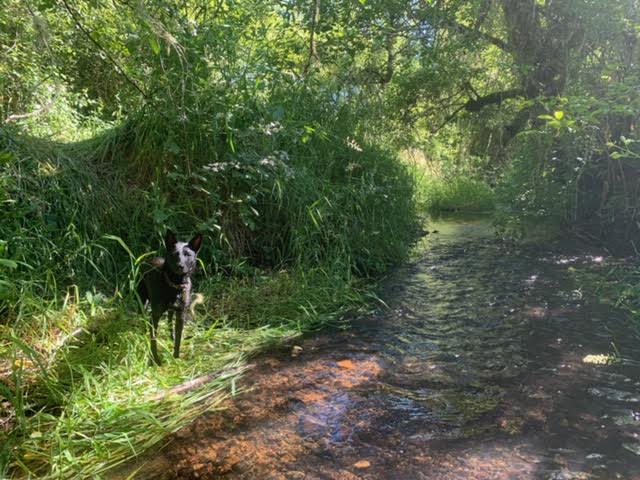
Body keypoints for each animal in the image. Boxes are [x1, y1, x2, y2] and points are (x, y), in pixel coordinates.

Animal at [138, 231, 202, 366]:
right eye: (174, 254)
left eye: (188, 254)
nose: (180, 266)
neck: (175, 286)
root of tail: (149, 259)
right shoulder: (155, 316)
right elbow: (153, 340)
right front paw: (155, 360)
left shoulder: (181, 314)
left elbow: (178, 339)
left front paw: (176, 358)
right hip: (142, 301)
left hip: (172, 310)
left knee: (169, 320)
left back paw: (171, 336)